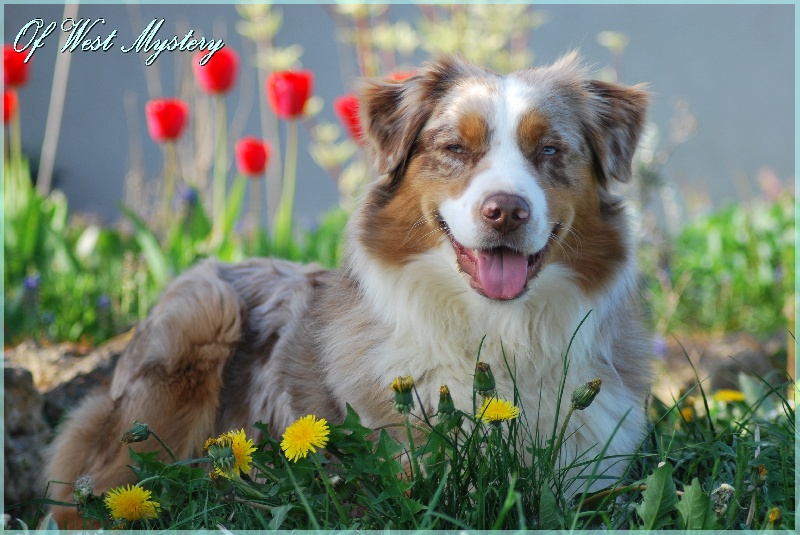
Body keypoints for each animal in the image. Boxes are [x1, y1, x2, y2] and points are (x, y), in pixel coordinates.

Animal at [45, 54, 648, 528]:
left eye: (549, 150)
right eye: (455, 148)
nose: (505, 210)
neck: (497, 332)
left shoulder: (595, 482)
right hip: (200, 317)